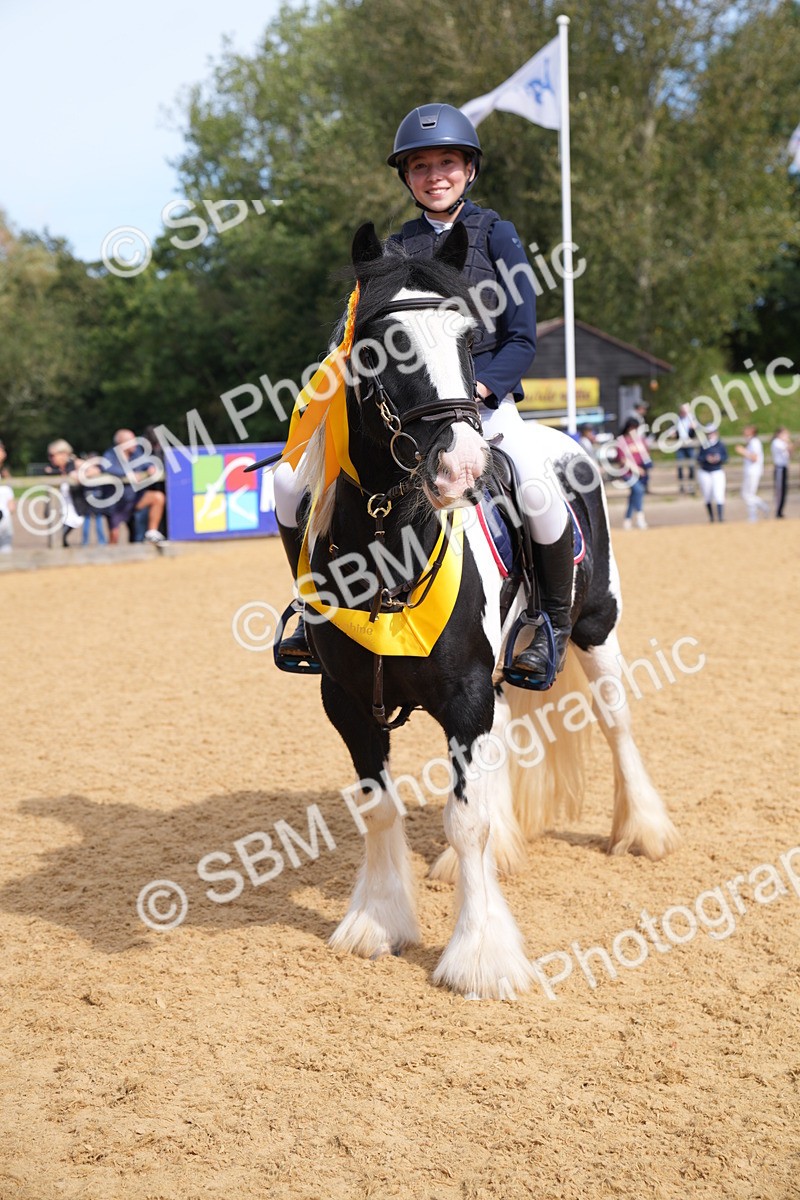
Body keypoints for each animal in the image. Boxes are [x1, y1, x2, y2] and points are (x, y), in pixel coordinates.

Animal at [293, 221, 679, 1000]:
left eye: (469, 336)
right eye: (379, 344)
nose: (462, 469)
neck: (389, 550)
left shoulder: (465, 692)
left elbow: (463, 820)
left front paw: (479, 956)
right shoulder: (347, 699)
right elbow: (378, 806)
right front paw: (377, 922)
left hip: (595, 628)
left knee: (618, 721)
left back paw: (643, 832)